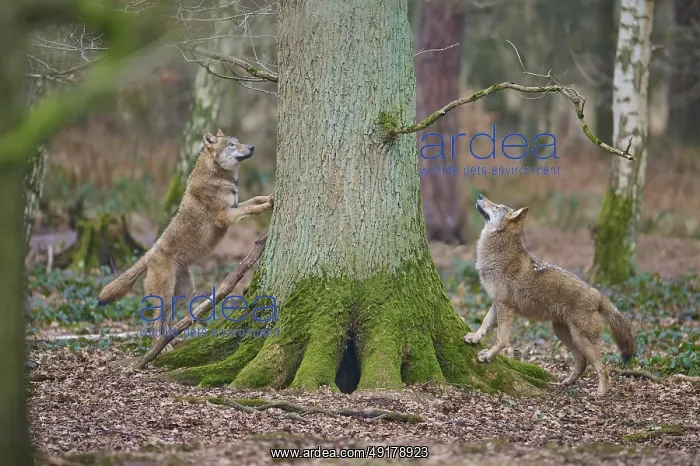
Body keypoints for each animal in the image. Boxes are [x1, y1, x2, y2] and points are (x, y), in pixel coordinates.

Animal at [97, 129, 273, 333]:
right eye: (231, 145)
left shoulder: (234, 206)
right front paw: (268, 205)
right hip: (165, 297)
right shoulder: (225, 217)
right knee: (154, 325)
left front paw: (270, 197)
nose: (252, 147)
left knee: (166, 321)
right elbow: (251, 208)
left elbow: (254, 199)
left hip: (185, 293)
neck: (218, 177)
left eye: (238, 141)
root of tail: (148, 255)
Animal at [463, 194, 636, 396]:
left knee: (603, 369)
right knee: (582, 362)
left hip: (580, 339)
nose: (480, 195)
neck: (499, 253)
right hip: (562, 333)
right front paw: (475, 338)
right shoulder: (496, 303)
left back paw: (599, 393)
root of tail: (599, 295)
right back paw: (567, 382)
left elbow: (501, 339)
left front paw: (489, 356)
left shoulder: (505, 307)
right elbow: (484, 323)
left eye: (497, 206)